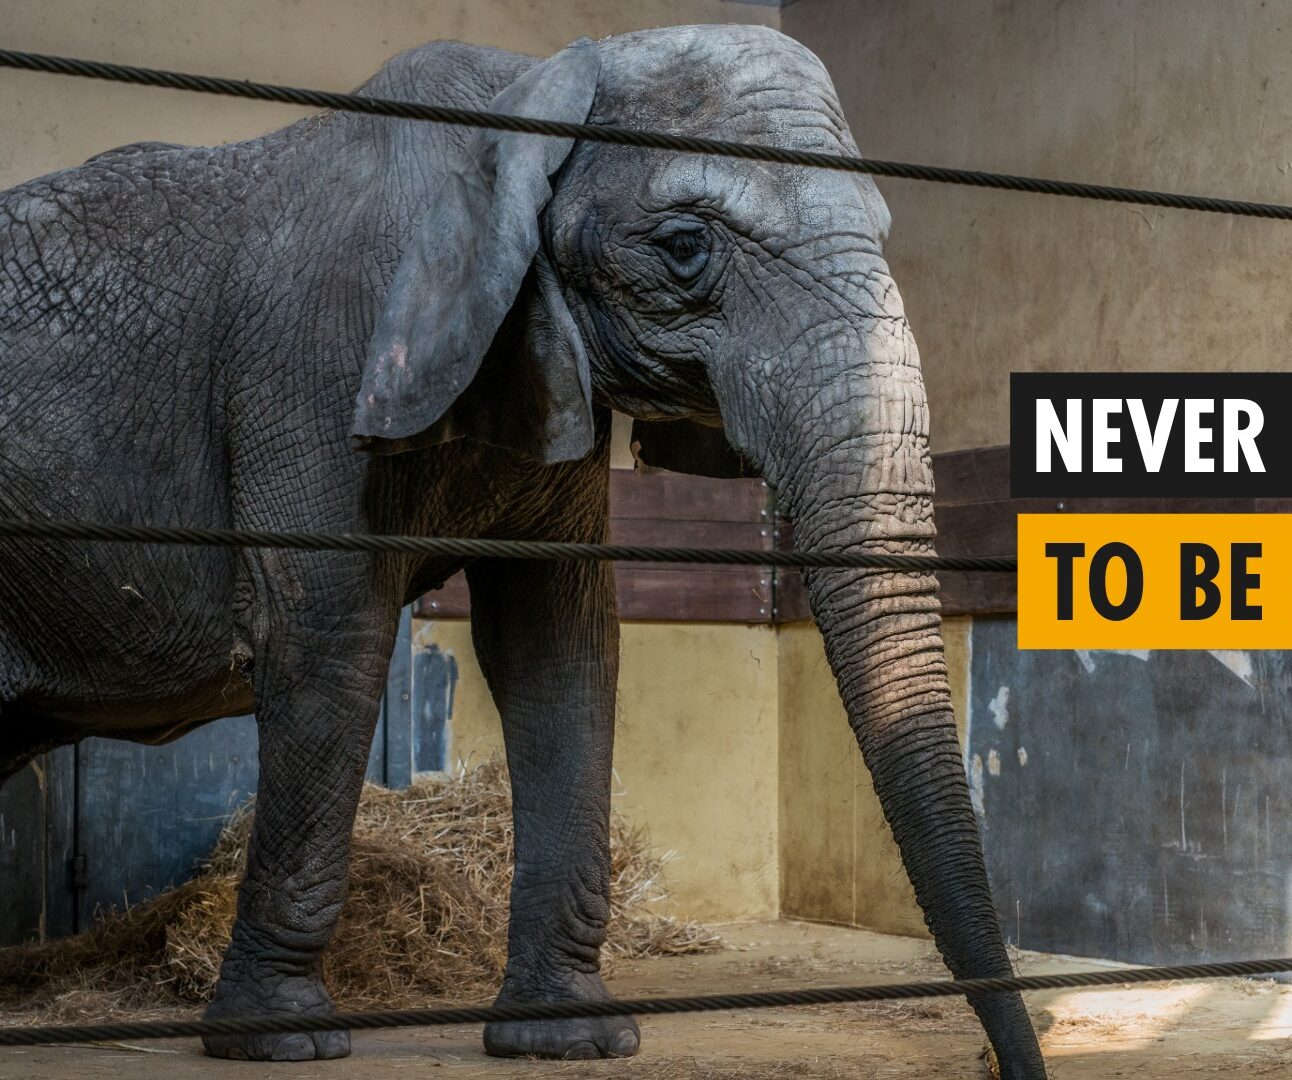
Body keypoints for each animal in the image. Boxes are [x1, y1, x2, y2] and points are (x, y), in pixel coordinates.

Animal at [0, 24, 1047, 1077]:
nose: (1009, 1059)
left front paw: (567, 1036)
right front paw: (282, 1038)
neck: (529, 84)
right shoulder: (310, 369)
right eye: (685, 247)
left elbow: (556, 644)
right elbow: (329, 642)